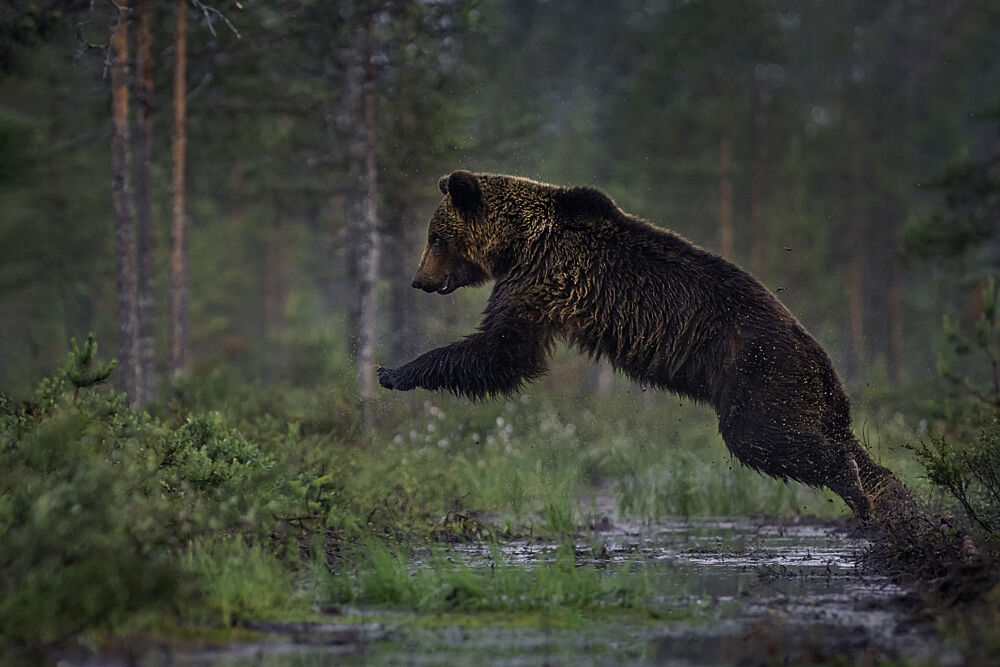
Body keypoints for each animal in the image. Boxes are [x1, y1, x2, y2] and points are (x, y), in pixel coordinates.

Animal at [378, 170, 910, 521]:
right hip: (807, 397)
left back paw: (855, 486)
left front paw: (395, 371)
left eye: (435, 237)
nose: (418, 280)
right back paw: (891, 495)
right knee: (845, 444)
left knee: (764, 437)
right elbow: (504, 352)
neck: (517, 241)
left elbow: (502, 350)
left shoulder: (540, 277)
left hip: (761, 371)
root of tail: (823, 363)